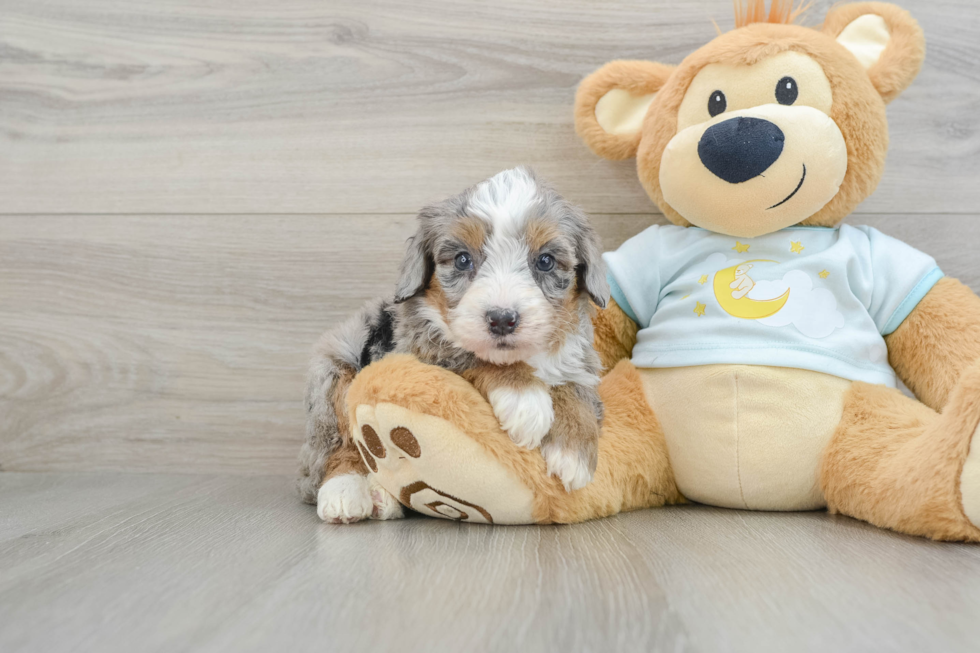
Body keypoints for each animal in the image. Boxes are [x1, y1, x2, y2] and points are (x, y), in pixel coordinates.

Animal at [298, 166, 608, 524]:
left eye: (545, 261)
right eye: (462, 260)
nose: (502, 319)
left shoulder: (581, 357)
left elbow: (574, 385)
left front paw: (574, 452)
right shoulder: (415, 347)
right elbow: (467, 354)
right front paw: (525, 398)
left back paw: (381, 497)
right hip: (336, 367)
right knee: (338, 445)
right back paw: (346, 492)